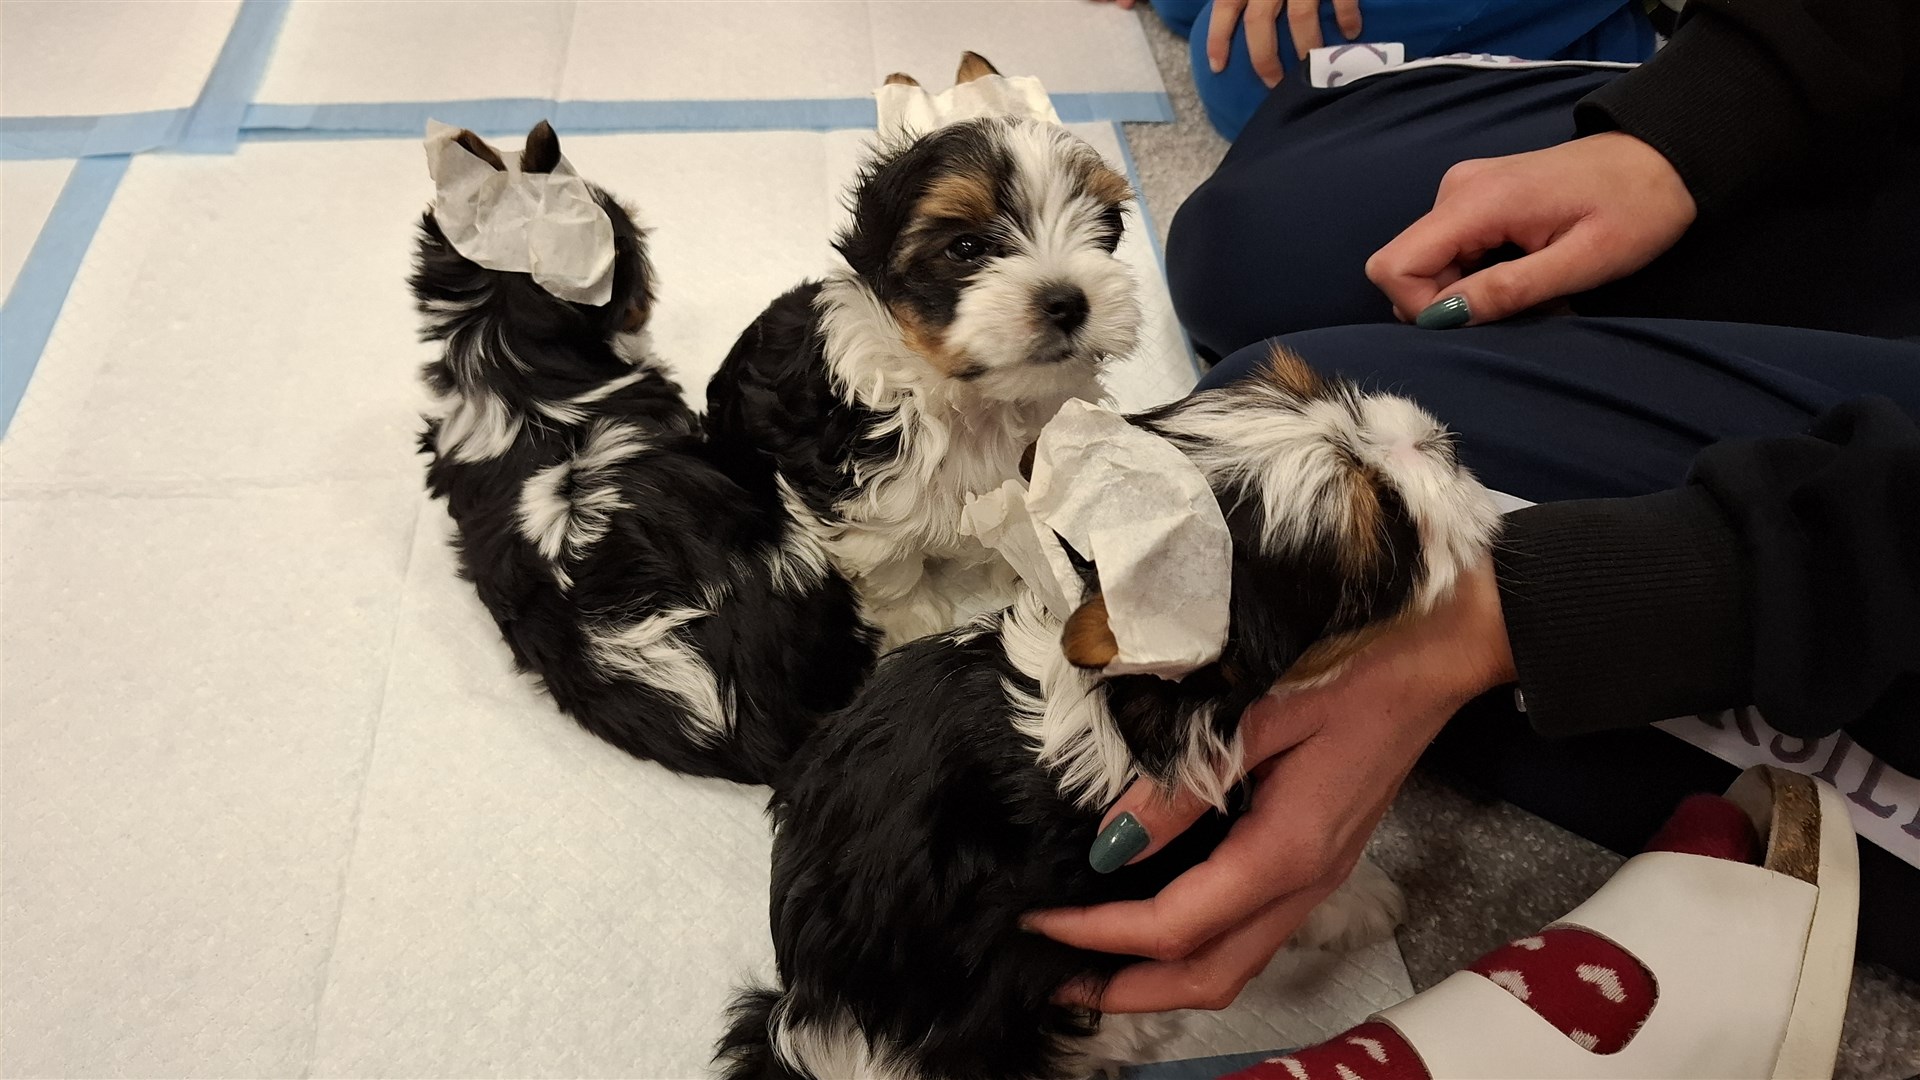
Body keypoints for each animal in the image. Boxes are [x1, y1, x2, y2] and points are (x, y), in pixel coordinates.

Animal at [706, 56, 1141, 648]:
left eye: (1106, 230)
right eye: (966, 247)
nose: (1068, 301)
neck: (973, 404)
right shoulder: (859, 500)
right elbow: (892, 569)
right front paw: (916, 623)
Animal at [715, 348, 1502, 1079]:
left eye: (1325, 395)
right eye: (1388, 530)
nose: (1438, 438)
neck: (1134, 700)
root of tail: (821, 1014)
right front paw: (1367, 902)